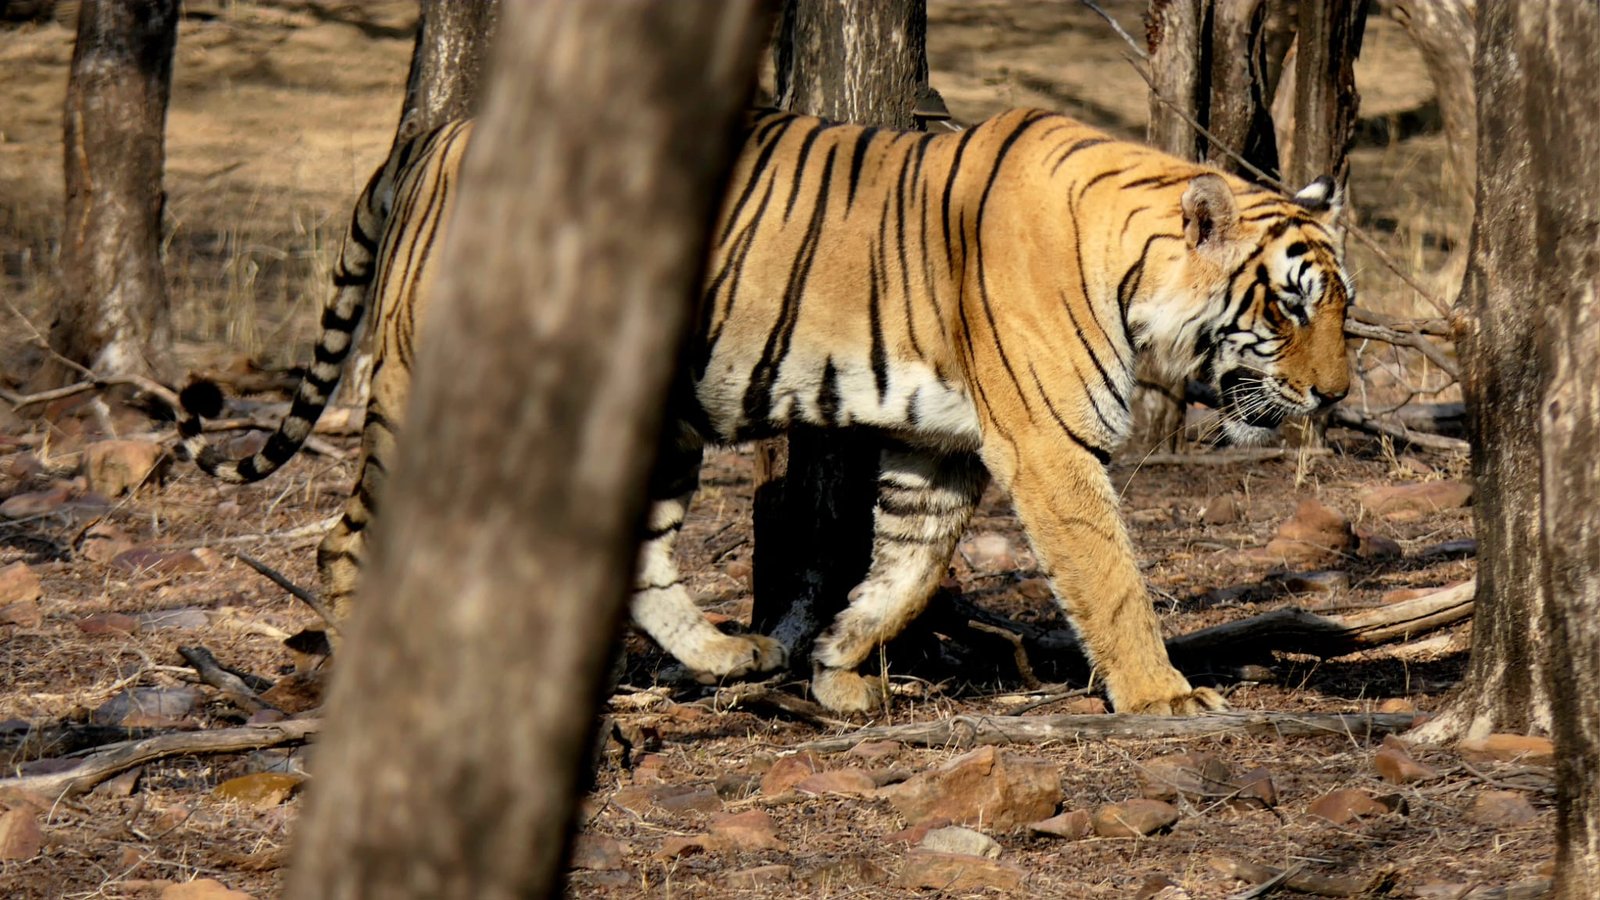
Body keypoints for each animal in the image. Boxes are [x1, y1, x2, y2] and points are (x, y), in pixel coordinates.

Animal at [179, 107, 1351, 715]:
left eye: (1341, 307)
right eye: (1288, 308)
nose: (1337, 395)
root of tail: (441, 126)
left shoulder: (941, 447)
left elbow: (906, 566)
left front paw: (837, 665)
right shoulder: (1048, 446)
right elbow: (1109, 578)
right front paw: (1164, 697)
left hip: (657, 421)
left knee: (643, 556)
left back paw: (729, 658)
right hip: (428, 388)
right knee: (344, 539)